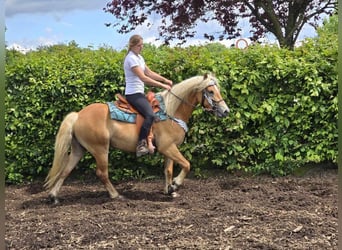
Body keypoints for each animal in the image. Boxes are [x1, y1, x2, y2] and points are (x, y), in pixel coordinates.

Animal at [43, 73, 230, 203]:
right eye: (211, 91)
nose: (226, 111)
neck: (171, 112)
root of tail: (78, 116)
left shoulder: (169, 149)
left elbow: (168, 170)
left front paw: (169, 190)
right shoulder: (168, 147)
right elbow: (186, 164)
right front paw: (175, 184)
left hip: (78, 149)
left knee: (65, 170)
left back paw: (53, 196)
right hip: (100, 149)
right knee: (102, 173)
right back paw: (116, 195)